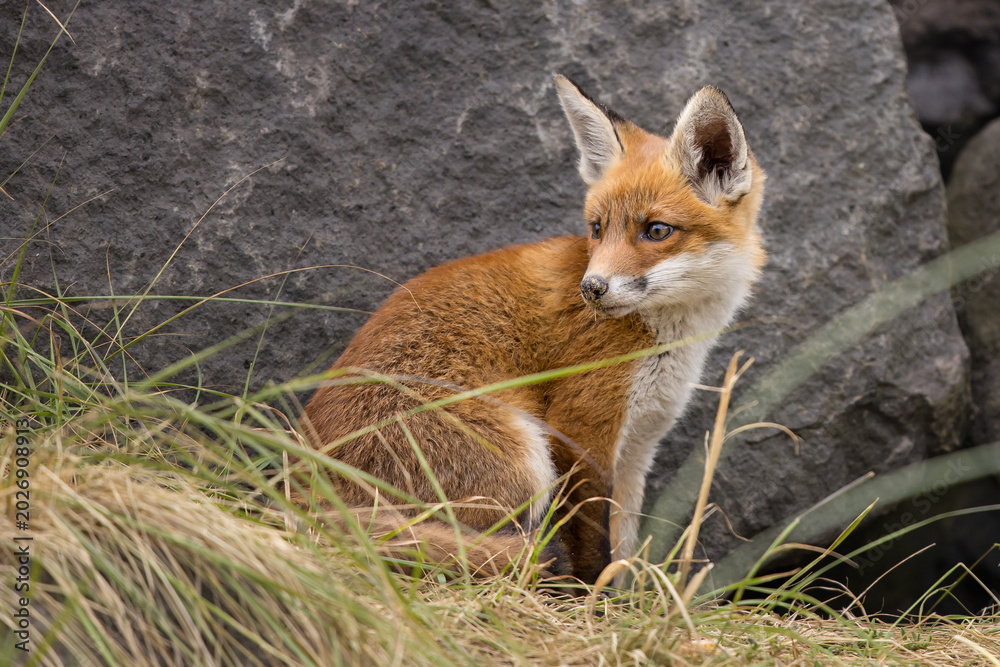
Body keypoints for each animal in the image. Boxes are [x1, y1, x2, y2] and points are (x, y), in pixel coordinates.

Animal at [300, 76, 766, 584]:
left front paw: (628, 601)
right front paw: (593, 601)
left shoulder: (638, 448)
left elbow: (624, 548)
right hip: (526, 461)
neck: (667, 339)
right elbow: (594, 549)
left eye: (657, 230)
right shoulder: (580, 431)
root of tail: (295, 485)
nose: (591, 289)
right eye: (597, 228)